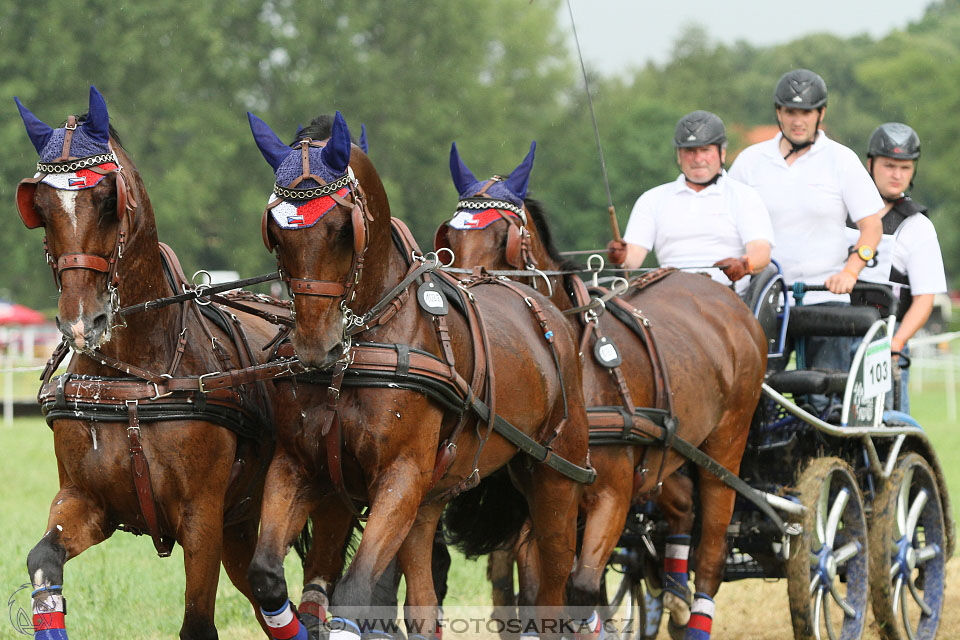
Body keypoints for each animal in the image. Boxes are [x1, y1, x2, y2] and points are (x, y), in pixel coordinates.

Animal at [15, 89, 284, 640]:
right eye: (42, 208)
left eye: (106, 200)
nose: (81, 321)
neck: (133, 382)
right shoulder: (86, 501)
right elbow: (42, 561)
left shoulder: (202, 517)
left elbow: (198, 622)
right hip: (241, 526)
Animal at [246, 112, 592, 636]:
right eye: (277, 233)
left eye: (342, 230)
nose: (314, 346)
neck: (354, 357)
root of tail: (545, 309)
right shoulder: (298, 465)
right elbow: (266, 574)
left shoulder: (400, 475)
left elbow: (356, 591)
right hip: (431, 496)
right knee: (425, 602)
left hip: (556, 477)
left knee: (552, 589)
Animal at [434, 144, 764, 640]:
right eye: (450, 237)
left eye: (506, 237)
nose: (467, 290)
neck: (578, 366)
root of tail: (719, 294)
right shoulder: (544, 490)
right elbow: (539, 589)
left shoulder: (612, 494)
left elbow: (583, 586)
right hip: (664, 452)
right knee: (682, 507)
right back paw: (674, 592)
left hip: (726, 446)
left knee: (712, 548)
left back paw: (696, 610)